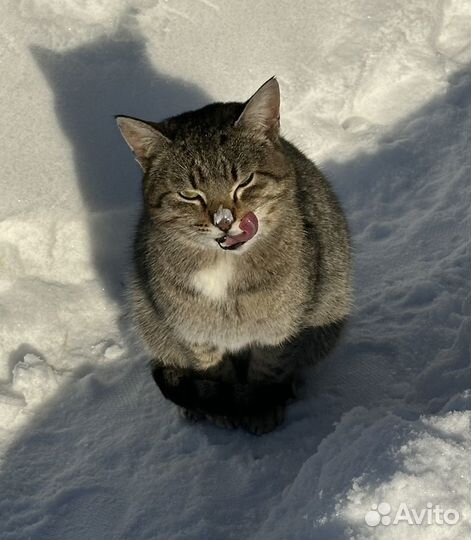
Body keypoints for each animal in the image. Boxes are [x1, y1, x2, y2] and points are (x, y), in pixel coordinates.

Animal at [116, 78, 352, 434]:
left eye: (245, 181)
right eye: (189, 194)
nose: (224, 221)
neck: (224, 267)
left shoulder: (278, 329)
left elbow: (268, 367)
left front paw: (259, 408)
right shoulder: (194, 331)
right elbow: (214, 371)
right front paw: (224, 409)